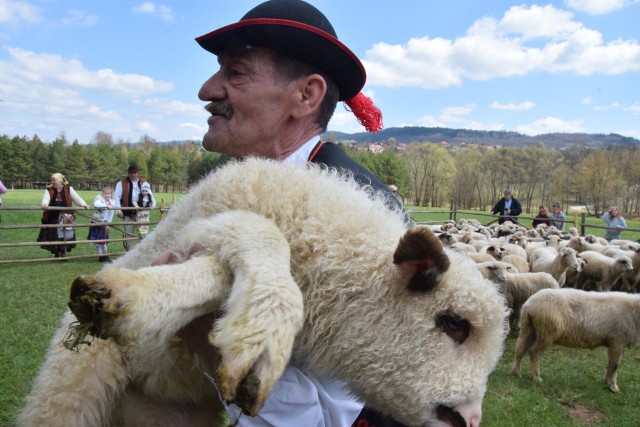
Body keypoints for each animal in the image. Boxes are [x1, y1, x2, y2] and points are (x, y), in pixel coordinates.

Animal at [21, 159, 510, 427]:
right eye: (454, 323)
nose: (468, 420)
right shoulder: (198, 225)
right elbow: (256, 232)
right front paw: (264, 330)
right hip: (71, 387)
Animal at [512, 290, 640, 392]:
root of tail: (529, 304)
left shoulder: (614, 342)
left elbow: (611, 364)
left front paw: (606, 381)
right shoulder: (618, 341)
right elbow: (615, 365)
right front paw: (613, 387)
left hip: (529, 328)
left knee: (520, 349)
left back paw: (516, 372)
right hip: (547, 331)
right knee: (534, 352)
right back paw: (535, 377)